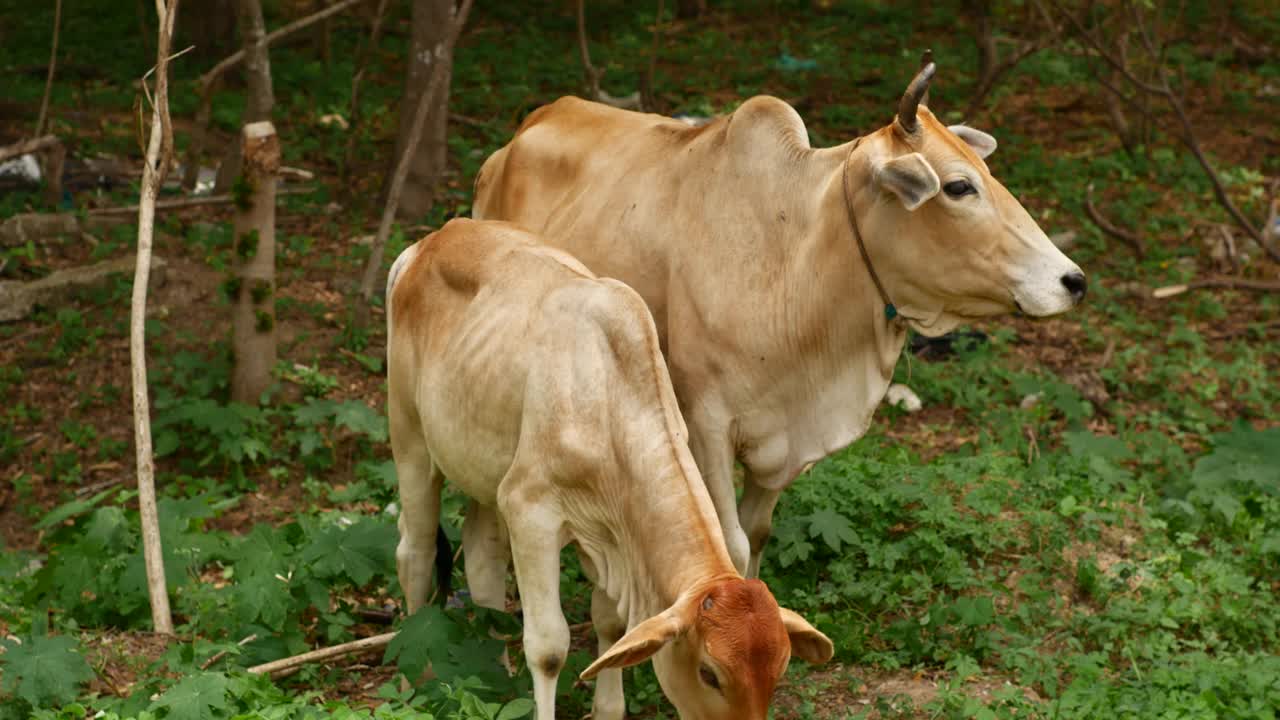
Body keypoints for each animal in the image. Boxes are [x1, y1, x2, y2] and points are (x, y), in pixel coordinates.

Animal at [476, 61, 1085, 576]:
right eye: (959, 186)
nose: (1072, 281)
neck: (795, 260)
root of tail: (523, 131)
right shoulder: (706, 421)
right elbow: (731, 541)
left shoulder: (785, 440)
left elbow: (758, 534)